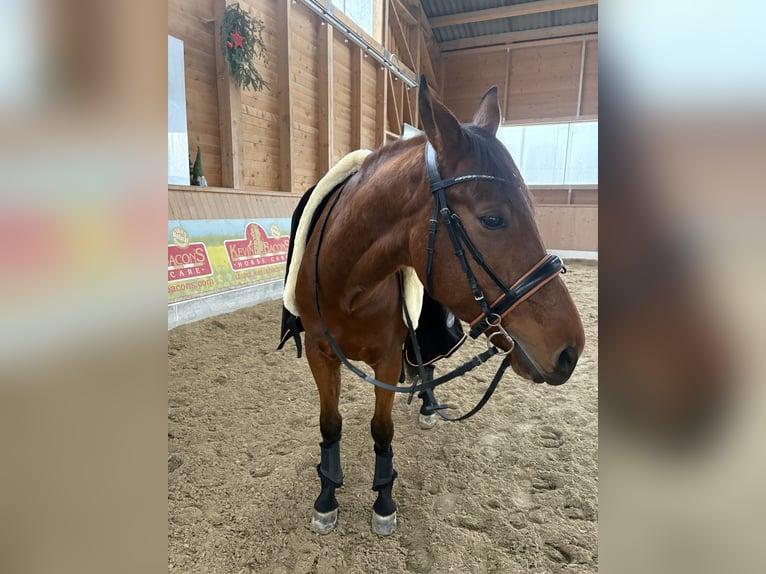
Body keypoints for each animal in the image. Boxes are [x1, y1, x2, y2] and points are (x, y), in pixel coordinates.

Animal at [282, 76, 585, 535]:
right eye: (492, 219)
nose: (571, 349)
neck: (347, 282)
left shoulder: (388, 356)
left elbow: (382, 429)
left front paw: (383, 501)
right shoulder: (320, 353)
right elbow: (330, 425)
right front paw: (327, 497)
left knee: (426, 361)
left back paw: (426, 402)